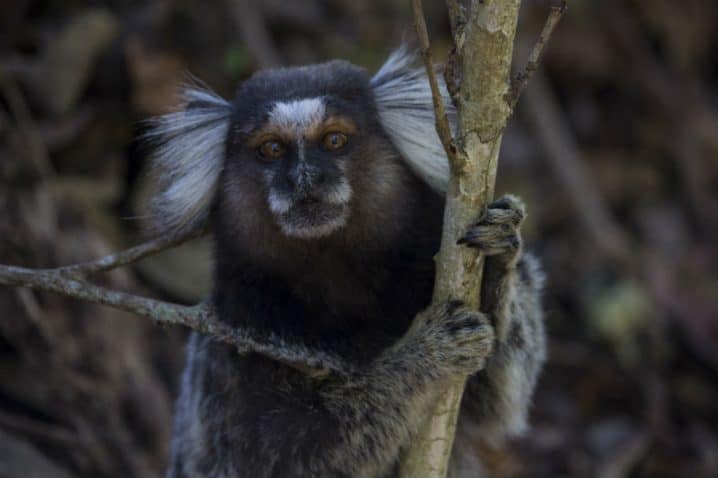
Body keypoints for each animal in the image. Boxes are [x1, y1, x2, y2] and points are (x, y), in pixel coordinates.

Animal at [149, 48, 548, 478]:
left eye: (334, 140)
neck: (335, 273)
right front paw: (423, 354)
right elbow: (277, 456)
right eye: (271, 149)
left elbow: (493, 401)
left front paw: (497, 259)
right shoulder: (236, 332)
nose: (305, 178)